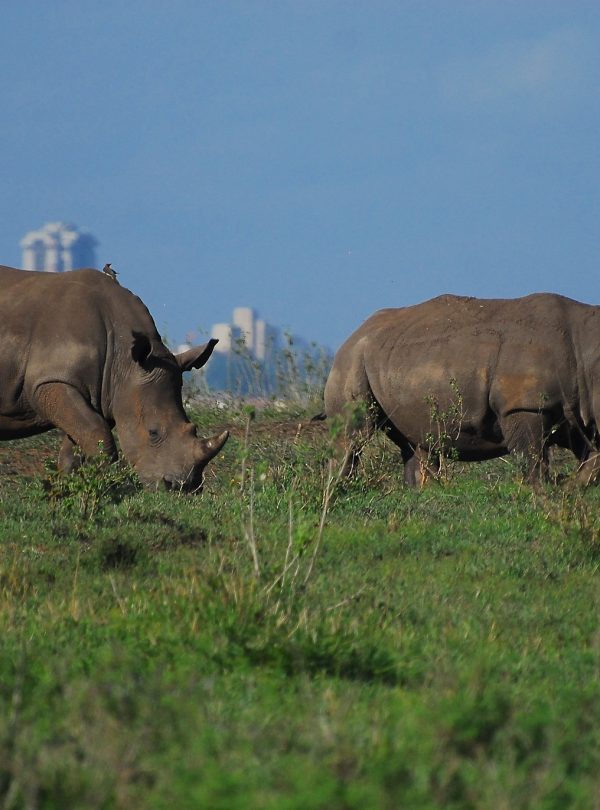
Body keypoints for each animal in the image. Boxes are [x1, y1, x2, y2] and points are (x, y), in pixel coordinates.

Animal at [0, 268, 229, 490]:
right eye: (153, 433)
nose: (183, 487)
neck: (123, 360)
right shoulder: (51, 381)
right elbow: (97, 432)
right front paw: (105, 487)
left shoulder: (106, 391)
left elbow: (78, 443)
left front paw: (68, 488)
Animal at [326, 294, 600, 482]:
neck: (586, 349)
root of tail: (355, 332)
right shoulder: (524, 406)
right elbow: (533, 460)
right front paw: (545, 494)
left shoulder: (577, 411)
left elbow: (592, 458)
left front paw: (571, 487)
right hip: (353, 357)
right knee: (354, 434)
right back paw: (340, 490)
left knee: (415, 444)